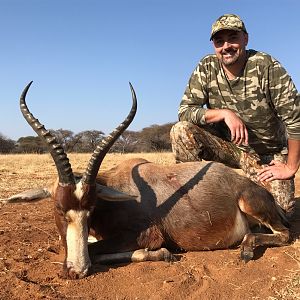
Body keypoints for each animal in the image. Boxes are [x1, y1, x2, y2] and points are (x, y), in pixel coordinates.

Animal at [4, 82, 290, 278]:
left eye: (91, 209)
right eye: (58, 208)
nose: (77, 271)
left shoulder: (146, 235)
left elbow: (100, 252)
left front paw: (164, 254)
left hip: (253, 207)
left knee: (284, 234)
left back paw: (246, 249)